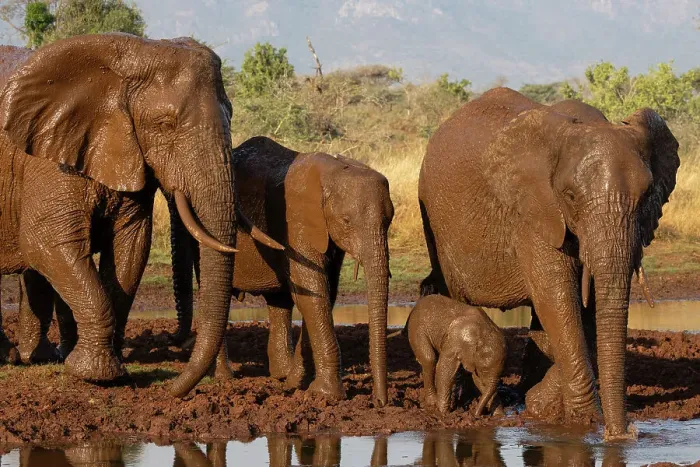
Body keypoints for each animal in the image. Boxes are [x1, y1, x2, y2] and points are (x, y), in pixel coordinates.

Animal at [0, 33, 242, 395]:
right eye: (164, 125)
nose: (171, 390)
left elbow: (130, 247)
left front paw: (113, 372)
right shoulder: (47, 157)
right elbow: (47, 243)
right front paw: (94, 374)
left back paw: (35, 357)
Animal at [169, 136, 395, 404]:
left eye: (390, 220)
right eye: (346, 221)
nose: (380, 402)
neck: (332, 172)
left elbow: (325, 294)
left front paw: (296, 384)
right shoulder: (296, 219)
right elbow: (313, 293)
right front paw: (326, 394)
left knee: (279, 301)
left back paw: (281, 374)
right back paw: (225, 378)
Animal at [418, 87, 679, 438]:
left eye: (648, 194)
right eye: (570, 197)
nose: (622, 434)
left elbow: (584, 307)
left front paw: (543, 407)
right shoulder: (534, 210)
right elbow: (557, 298)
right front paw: (583, 420)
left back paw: (520, 395)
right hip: (435, 219)